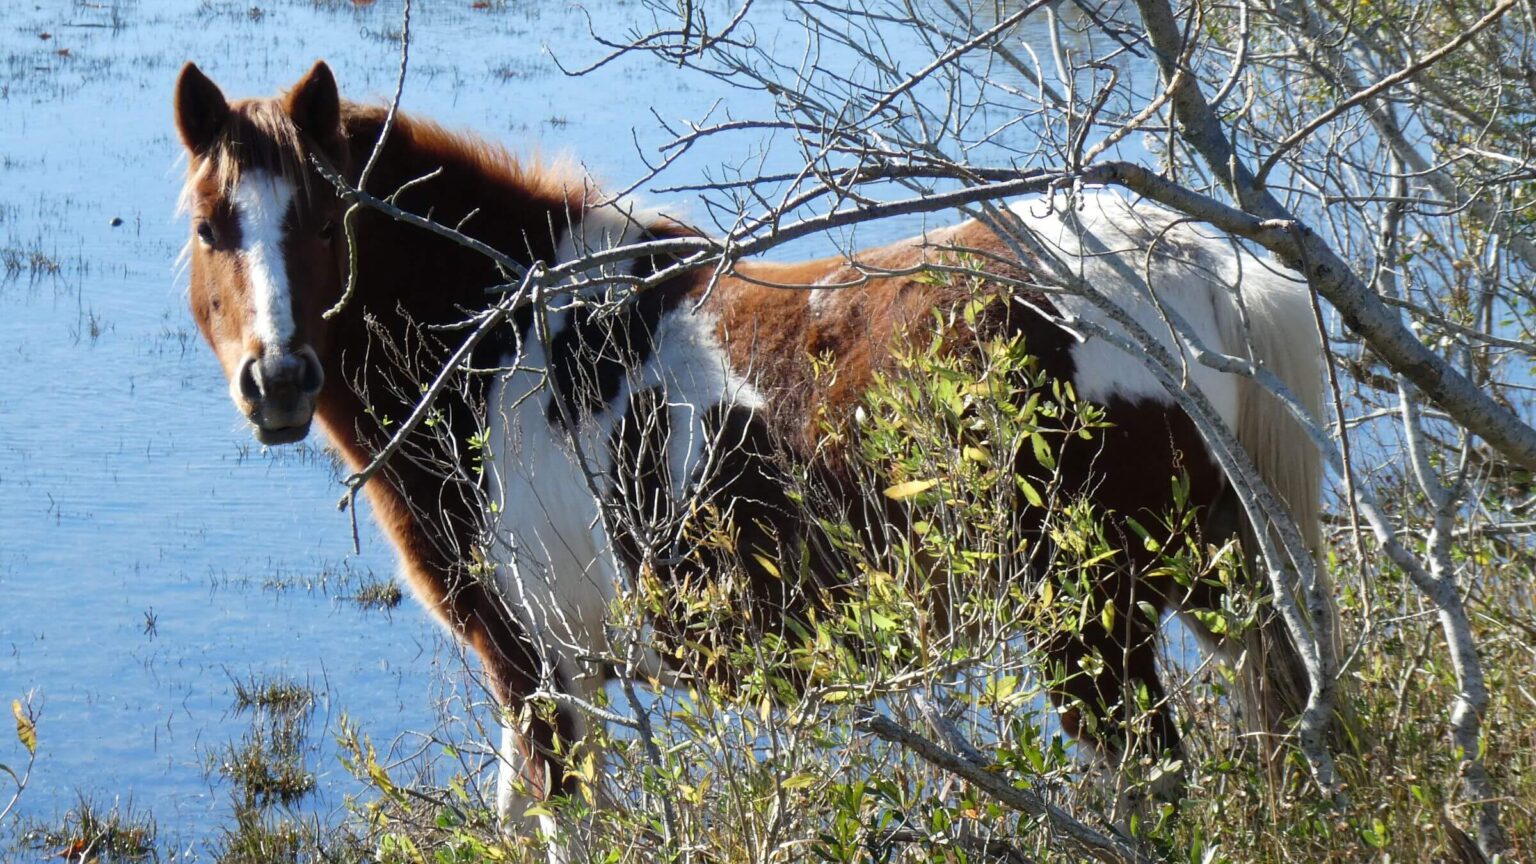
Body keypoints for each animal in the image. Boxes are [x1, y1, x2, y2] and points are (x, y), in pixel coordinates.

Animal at [172, 60, 1328, 841]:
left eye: (327, 222)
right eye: (210, 227)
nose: (278, 382)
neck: (502, 343)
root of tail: (1193, 261)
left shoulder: (541, 675)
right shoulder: (552, 682)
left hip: (1096, 628)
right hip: (1223, 587)